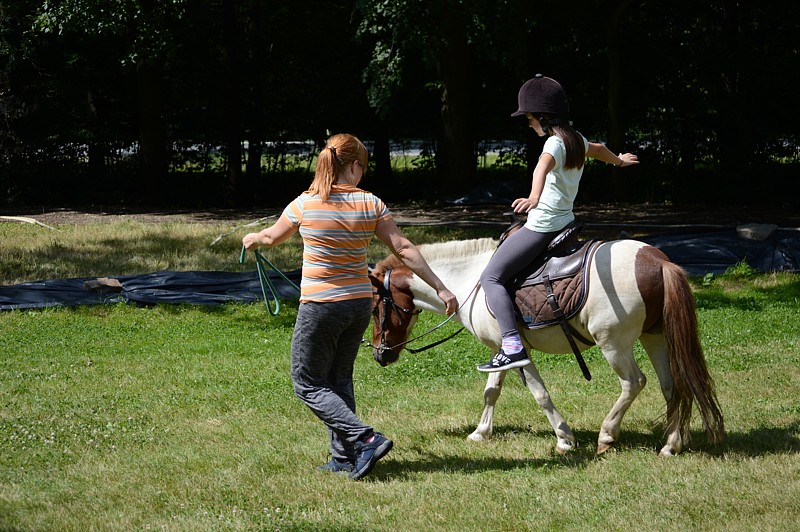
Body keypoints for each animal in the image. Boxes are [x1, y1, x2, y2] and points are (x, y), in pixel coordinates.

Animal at [368, 239, 724, 456]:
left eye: (374, 308)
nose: (378, 355)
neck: (471, 281)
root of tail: (658, 261)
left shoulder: (518, 354)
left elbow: (540, 394)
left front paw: (565, 439)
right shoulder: (501, 352)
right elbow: (491, 391)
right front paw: (481, 433)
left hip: (614, 344)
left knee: (634, 382)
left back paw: (607, 435)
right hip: (654, 337)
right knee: (672, 386)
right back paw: (671, 445)